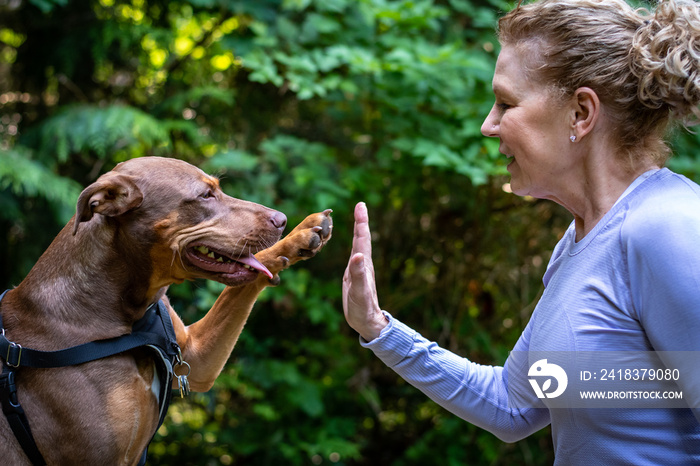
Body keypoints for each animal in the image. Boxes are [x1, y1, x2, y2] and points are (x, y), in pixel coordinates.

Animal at [0, 157, 332, 466]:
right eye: (205, 196)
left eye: (218, 188)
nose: (282, 219)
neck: (130, 316)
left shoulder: (197, 357)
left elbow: (241, 285)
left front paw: (302, 235)